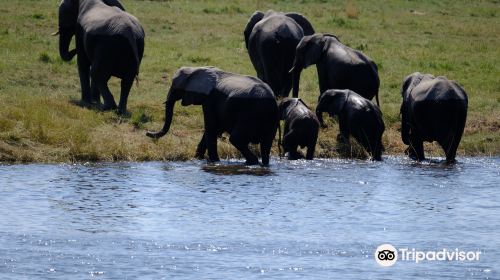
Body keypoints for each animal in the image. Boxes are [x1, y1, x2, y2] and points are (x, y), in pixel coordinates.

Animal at [145, 66, 280, 165]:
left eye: (175, 87)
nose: (147, 133)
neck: (197, 69)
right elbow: (215, 128)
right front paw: (197, 159)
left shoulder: (210, 99)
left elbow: (211, 127)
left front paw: (214, 162)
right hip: (270, 119)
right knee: (266, 144)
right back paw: (263, 164)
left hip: (249, 114)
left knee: (236, 139)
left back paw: (251, 162)